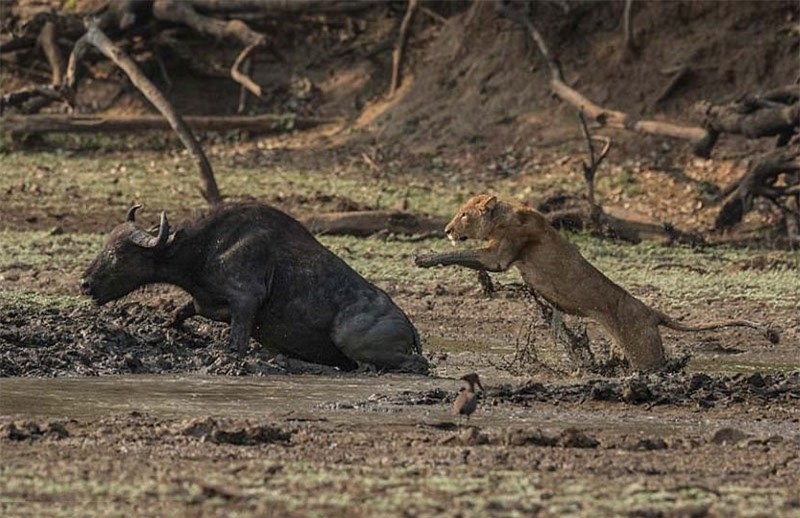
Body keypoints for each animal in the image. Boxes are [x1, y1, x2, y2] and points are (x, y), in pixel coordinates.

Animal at [80, 203, 428, 374]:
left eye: (119, 254)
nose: (85, 283)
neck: (206, 249)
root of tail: (408, 326)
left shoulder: (245, 301)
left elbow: (237, 343)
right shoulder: (205, 301)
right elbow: (180, 312)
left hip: (351, 340)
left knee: (418, 365)